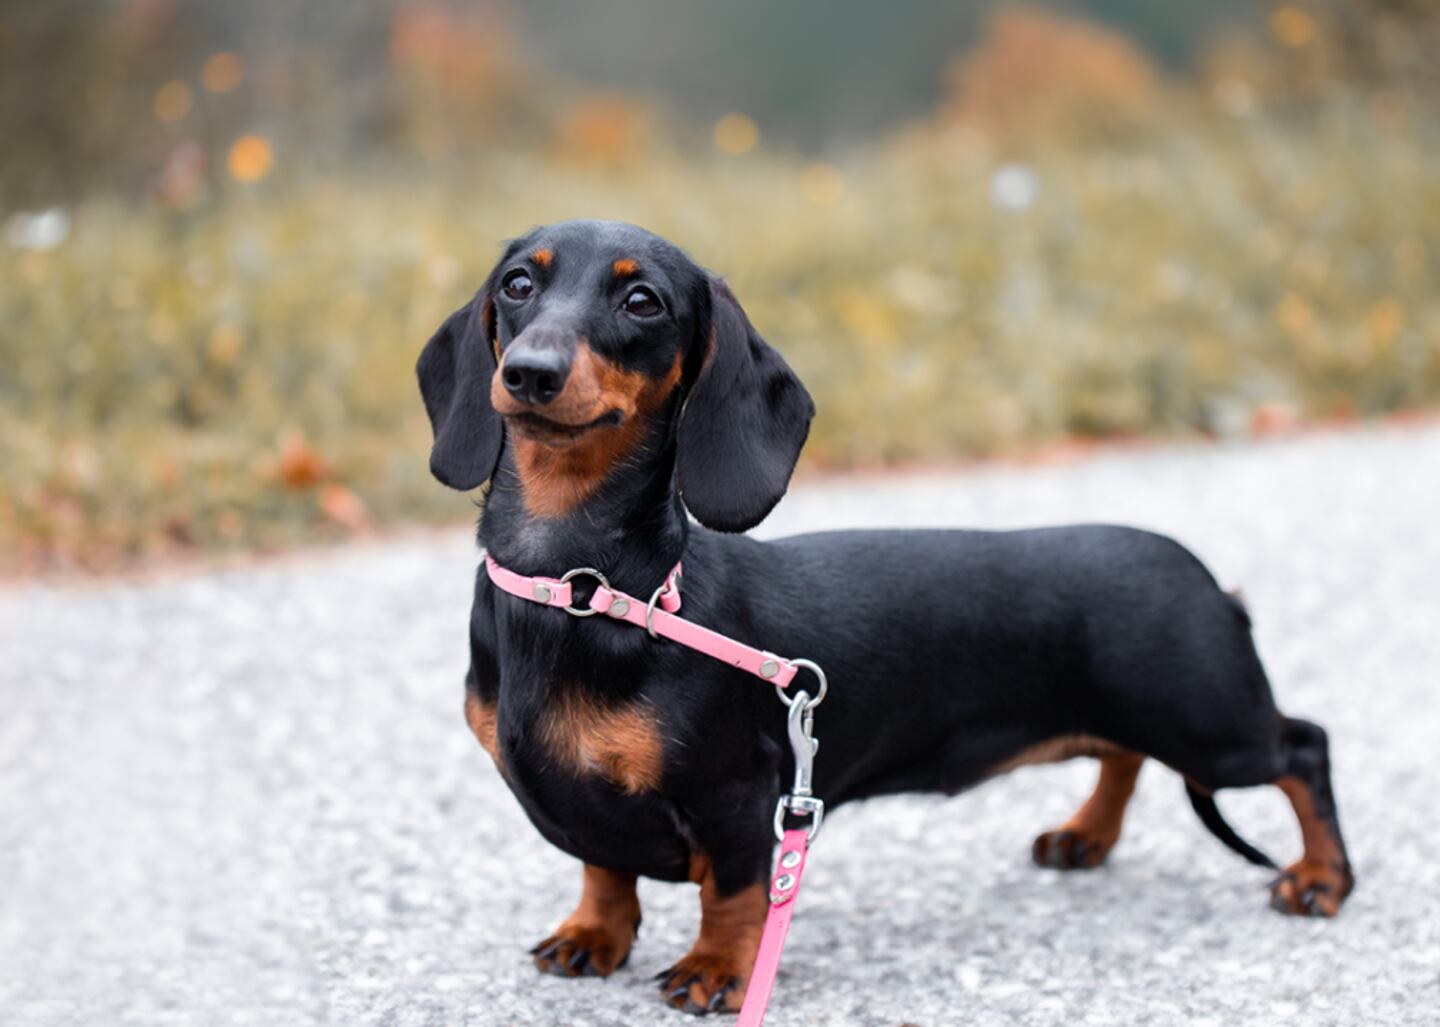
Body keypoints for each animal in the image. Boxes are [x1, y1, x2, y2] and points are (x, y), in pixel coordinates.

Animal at [416, 219, 1353, 1015]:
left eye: (642, 300)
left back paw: (1320, 877)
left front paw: (717, 970)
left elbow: (734, 894)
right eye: (517, 285)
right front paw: (593, 935)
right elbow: (604, 868)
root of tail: (1209, 579)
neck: (581, 587)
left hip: (1210, 725)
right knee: (1125, 753)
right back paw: (1086, 835)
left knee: (1302, 746)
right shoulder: (599, 808)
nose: (529, 371)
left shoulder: (743, 797)